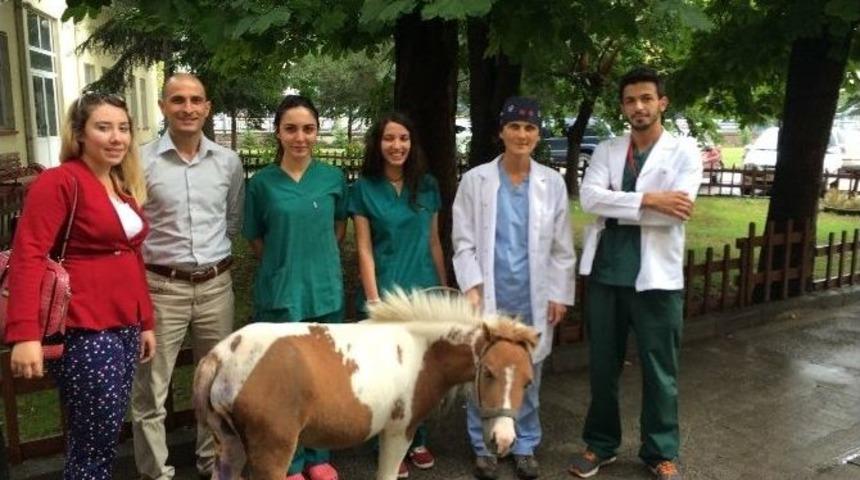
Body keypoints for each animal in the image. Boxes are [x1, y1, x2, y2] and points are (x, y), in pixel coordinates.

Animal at [192, 288, 539, 480]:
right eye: (489, 372)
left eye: (528, 382)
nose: (503, 440)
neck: (420, 349)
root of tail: (221, 355)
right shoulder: (400, 431)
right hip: (271, 452)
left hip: (230, 445)